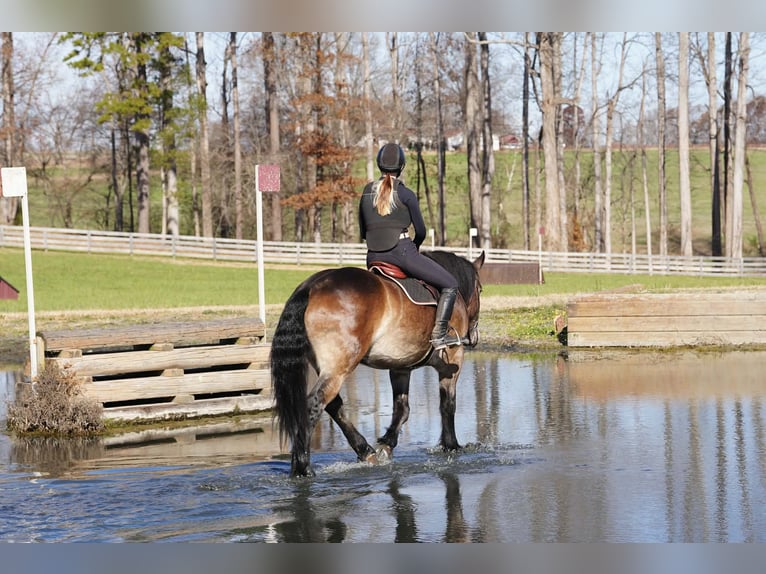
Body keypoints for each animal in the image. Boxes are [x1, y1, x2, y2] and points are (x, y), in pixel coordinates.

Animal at [270, 250, 485, 477]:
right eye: (480, 289)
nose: (474, 336)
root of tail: (311, 286)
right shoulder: (453, 359)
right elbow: (447, 404)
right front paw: (451, 446)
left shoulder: (400, 366)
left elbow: (402, 409)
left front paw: (387, 444)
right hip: (340, 367)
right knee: (315, 404)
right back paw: (303, 467)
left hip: (328, 367)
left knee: (333, 405)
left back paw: (364, 451)